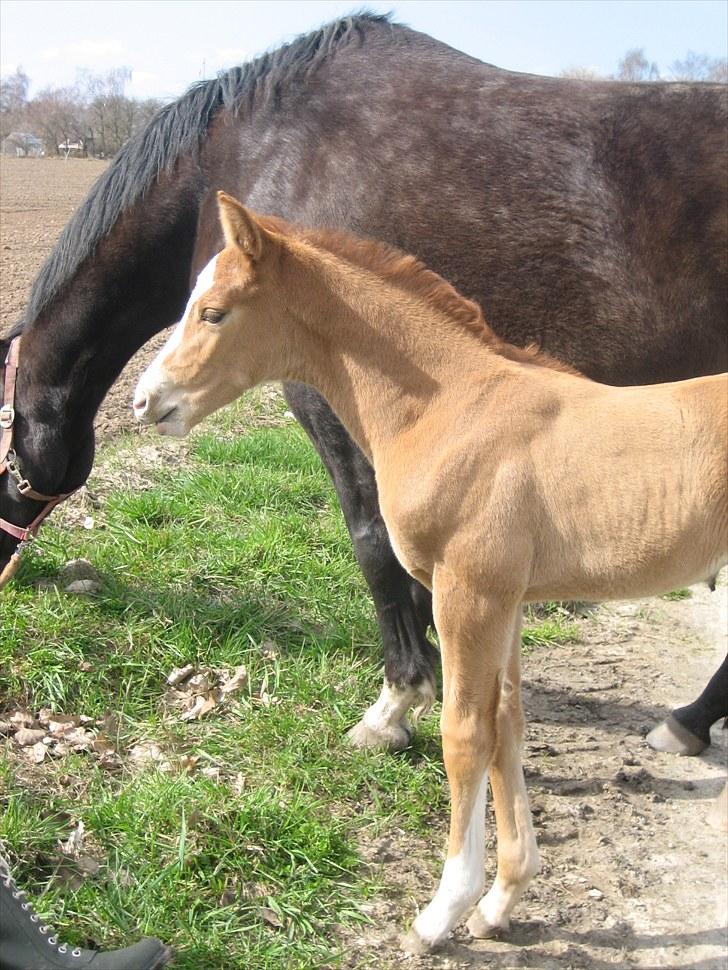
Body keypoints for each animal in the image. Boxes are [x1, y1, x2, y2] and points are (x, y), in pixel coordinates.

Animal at [134, 191, 724, 952]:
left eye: (213, 312)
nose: (144, 401)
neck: (450, 406)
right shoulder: (506, 600)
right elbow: (506, 724)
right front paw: (502, 900)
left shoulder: (467, 592)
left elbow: (464, 734)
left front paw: (443, 909)